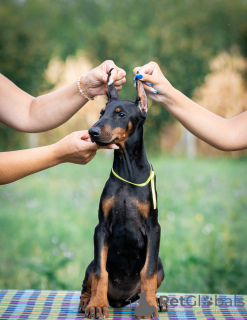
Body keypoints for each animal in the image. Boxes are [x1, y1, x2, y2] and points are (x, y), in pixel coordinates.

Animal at [78, 69, 165, 318]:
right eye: (101, 112)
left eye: (121, 114)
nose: (92, 131)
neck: (128, 170)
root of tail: (120, 301)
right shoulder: (101, 228)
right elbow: (101, 273)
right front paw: (97, 305)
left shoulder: (154, 228)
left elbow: (148, 272)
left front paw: (149, 306)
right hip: (90, 264)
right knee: (88, 281)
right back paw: (86, 301)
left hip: (161, 263)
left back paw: (157, 300)